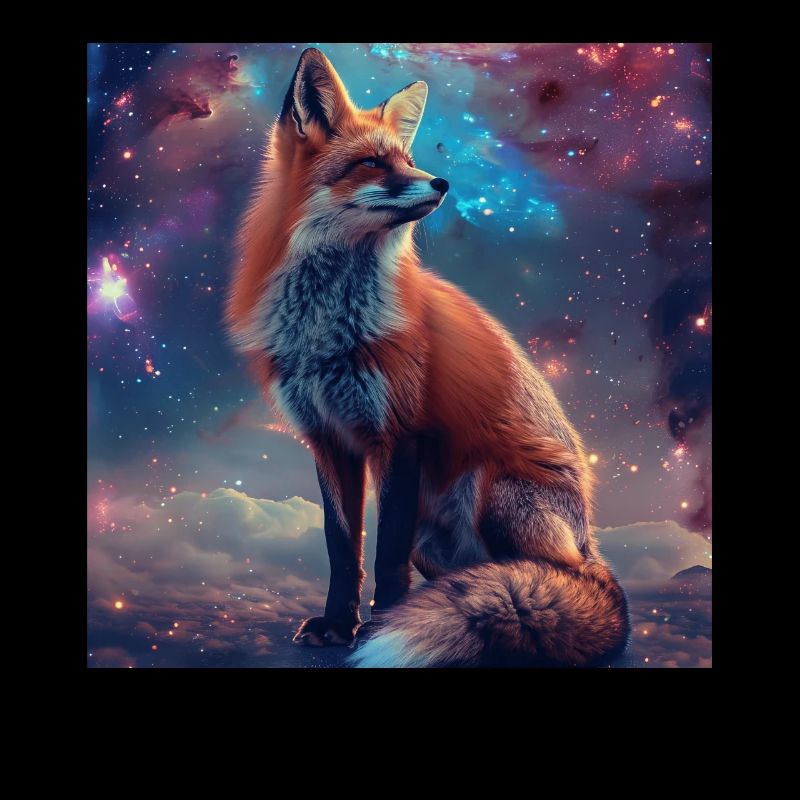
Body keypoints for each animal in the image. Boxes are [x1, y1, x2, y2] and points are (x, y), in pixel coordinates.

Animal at [225, 48, 630, 667]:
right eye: (372, 163)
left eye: (409, 161)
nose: (441, 181)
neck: (325, 333)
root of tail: (591, 545)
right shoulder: (329, 438)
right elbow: (341, 549)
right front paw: (337, 625)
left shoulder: (400, 433)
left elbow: (385, 553)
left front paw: (382, 626)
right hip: (434, 538)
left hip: (489, 488)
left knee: (547, 575)